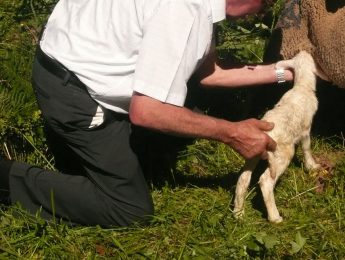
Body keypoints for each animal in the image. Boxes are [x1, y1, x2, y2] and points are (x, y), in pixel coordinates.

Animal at [232, 51, 322, 223]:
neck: (301, 86)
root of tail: (265, 134)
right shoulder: (306, 129)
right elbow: (307, 148)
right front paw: (312, 166)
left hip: (253, 154)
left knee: (243, 179)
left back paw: (238, 213)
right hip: (282, 155)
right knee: (265, 181)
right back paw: (275, 217)